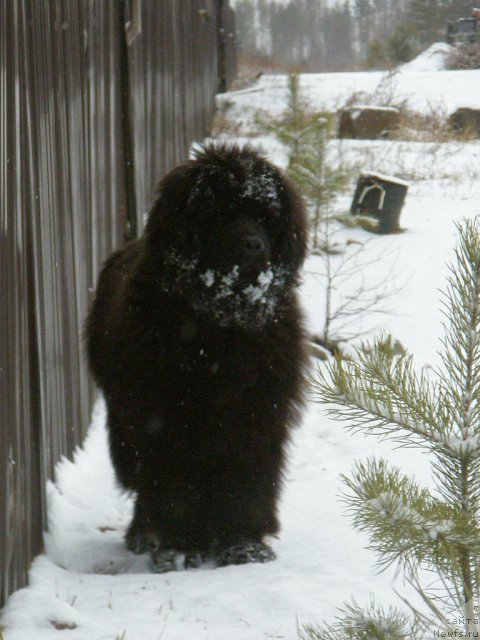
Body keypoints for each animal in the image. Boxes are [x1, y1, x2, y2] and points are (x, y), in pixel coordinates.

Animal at [87, 144, 308, 568]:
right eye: (218, 213)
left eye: (264, 217)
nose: (253, 246)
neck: (218, 330)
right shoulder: (166, 417)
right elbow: (176, 486)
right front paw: (183, 547)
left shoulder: (255, 413)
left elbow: (247, 476)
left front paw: (242, 544)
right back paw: (145, 534)